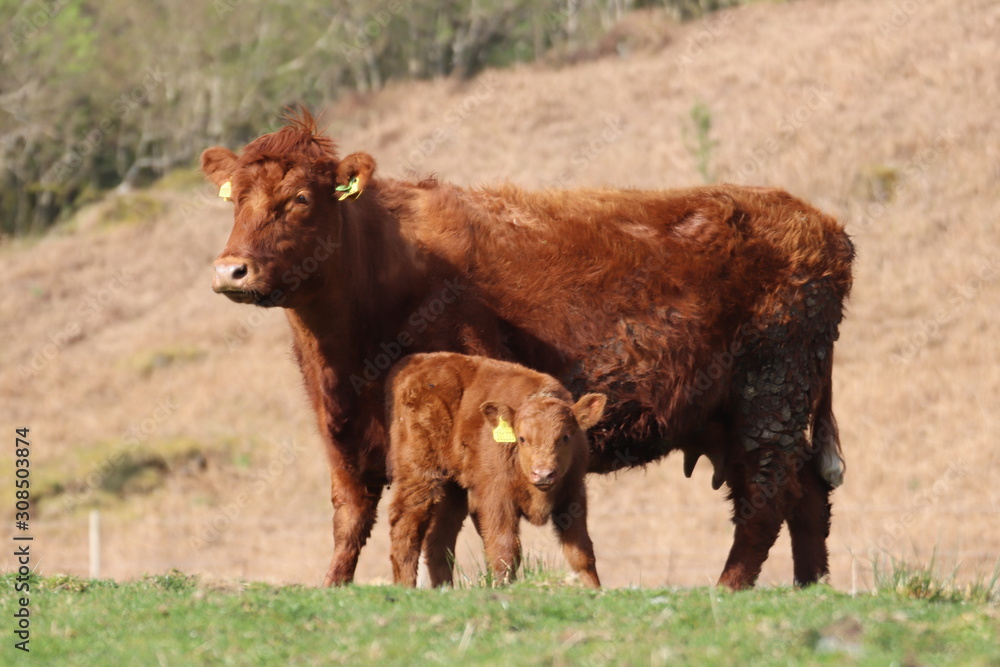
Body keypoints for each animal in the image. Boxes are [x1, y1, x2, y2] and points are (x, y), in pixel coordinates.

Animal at [386, 352, 606, 589]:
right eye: (522, 438)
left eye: (566, 437)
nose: (543, 474)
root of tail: (419, 361)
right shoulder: (496, 499)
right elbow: (504, 550)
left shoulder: (574, 495)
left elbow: (581, 553)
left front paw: (595, 589)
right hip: (419, 475)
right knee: (405, 526)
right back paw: (405, 586)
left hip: (453, 490)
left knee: (438, 541)